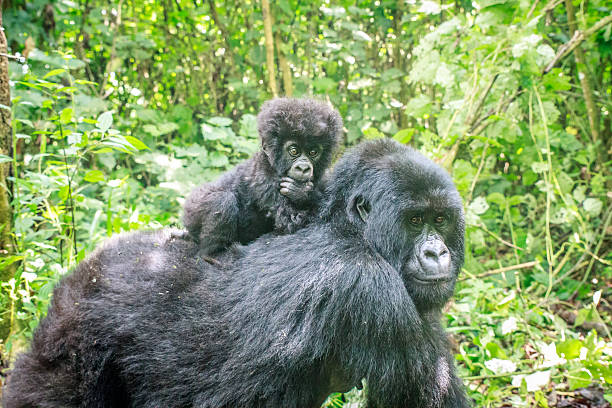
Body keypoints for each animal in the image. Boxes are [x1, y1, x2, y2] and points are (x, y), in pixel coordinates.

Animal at [3, 139, 468, 406]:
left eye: (441, 220)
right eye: (414, 221)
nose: (436, 253)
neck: (347, 228)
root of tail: (86, 271)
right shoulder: (373, 292)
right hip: (71, 337)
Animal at [182, 97, 344, 253]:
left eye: (313, 152)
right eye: (294, 151)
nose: (303, 168)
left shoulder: (323, 179)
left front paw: (302, 192)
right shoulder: (265, 178)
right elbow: (294, 221)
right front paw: (303, 193)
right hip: (193, 208)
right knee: (223, 201)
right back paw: (210, 254)